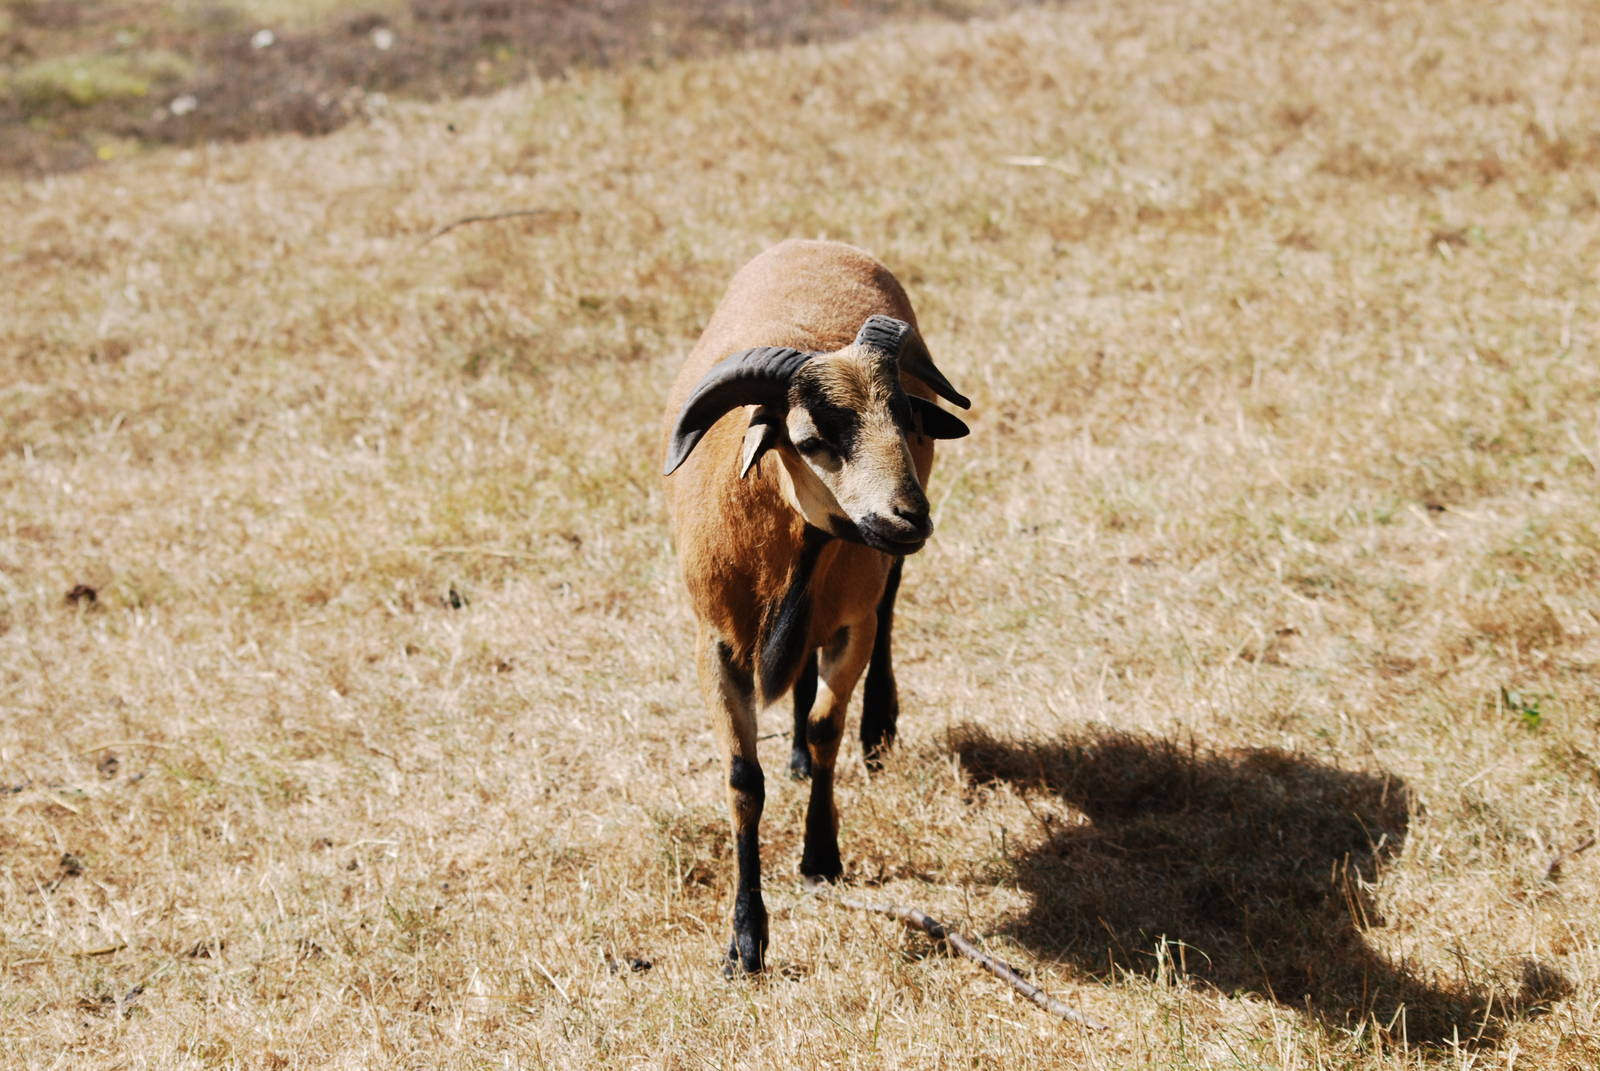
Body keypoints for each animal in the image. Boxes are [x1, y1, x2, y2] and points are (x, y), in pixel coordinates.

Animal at [661, 239, 970, 974]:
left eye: (908, 419)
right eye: (809, 439)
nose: (909, 516)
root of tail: (816, 241)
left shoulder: (853, 621)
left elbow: (832, 724)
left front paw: (820, 857)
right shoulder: (713, 643)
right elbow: (743, 779)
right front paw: (746, 943)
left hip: (878, 581)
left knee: (888, 613)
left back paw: (877, 728)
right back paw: (796, 752)